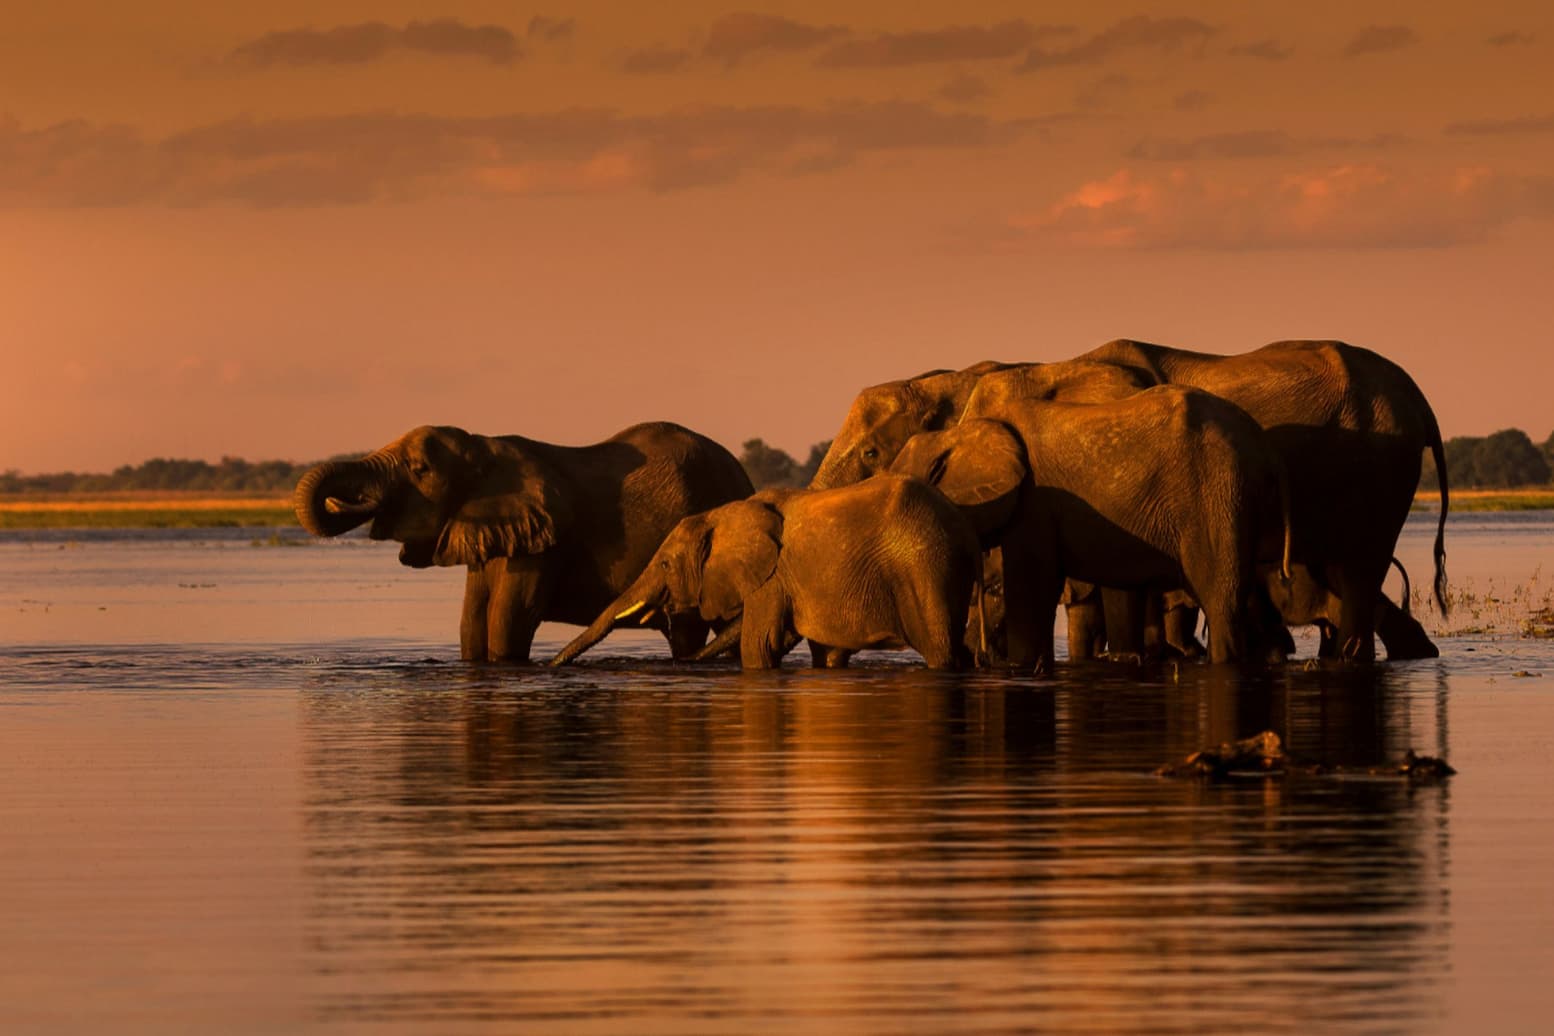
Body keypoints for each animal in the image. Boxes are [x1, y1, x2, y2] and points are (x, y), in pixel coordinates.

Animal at [548, 476, 984, 670]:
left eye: (666, 564)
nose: (553, 666)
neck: (724, 513)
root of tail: (965, 529)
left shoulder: (771, 579)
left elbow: (759, 644)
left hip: (926, 568)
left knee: (941, 649)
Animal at [890, 387, 1292, 670]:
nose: (977, 658)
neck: (959, 433)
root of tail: (1263, 446)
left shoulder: (1034, 501)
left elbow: (1031, 585)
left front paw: (1019, 667)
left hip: (1217, 493)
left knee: (1222, 599)